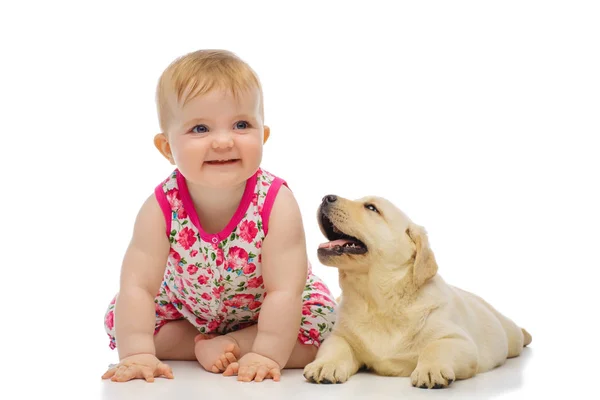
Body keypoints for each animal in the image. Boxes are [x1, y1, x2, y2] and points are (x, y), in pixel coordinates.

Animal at [302, 195, 532, 390]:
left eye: (371, 208)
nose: (326, 197)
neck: (378, 300)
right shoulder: (341, 336)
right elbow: (335, 346)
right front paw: (325, 365)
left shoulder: (459, 340)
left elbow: (436, 347)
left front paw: (431, 370)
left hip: (507, 334)